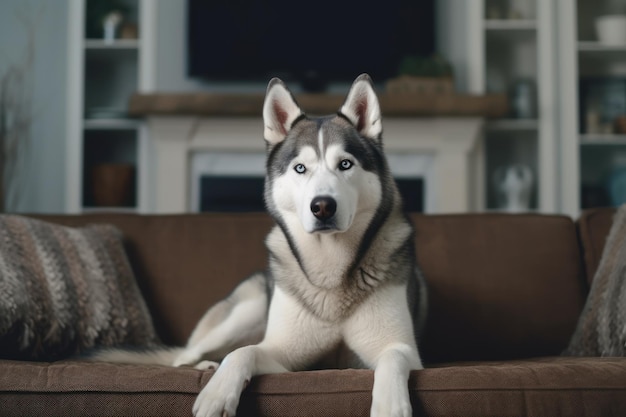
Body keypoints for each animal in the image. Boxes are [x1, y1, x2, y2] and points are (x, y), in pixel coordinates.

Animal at [96, 75, 428, 416]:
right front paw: (217, 393)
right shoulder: (285, 355)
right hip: (248, 309)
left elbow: (393, 356)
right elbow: (244, 352)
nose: (322, 206)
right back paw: (206, 366)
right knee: (184, 357)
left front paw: (390, 406)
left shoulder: (403, 349)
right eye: (300, 168)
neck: (329, 272)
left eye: (345, 164)